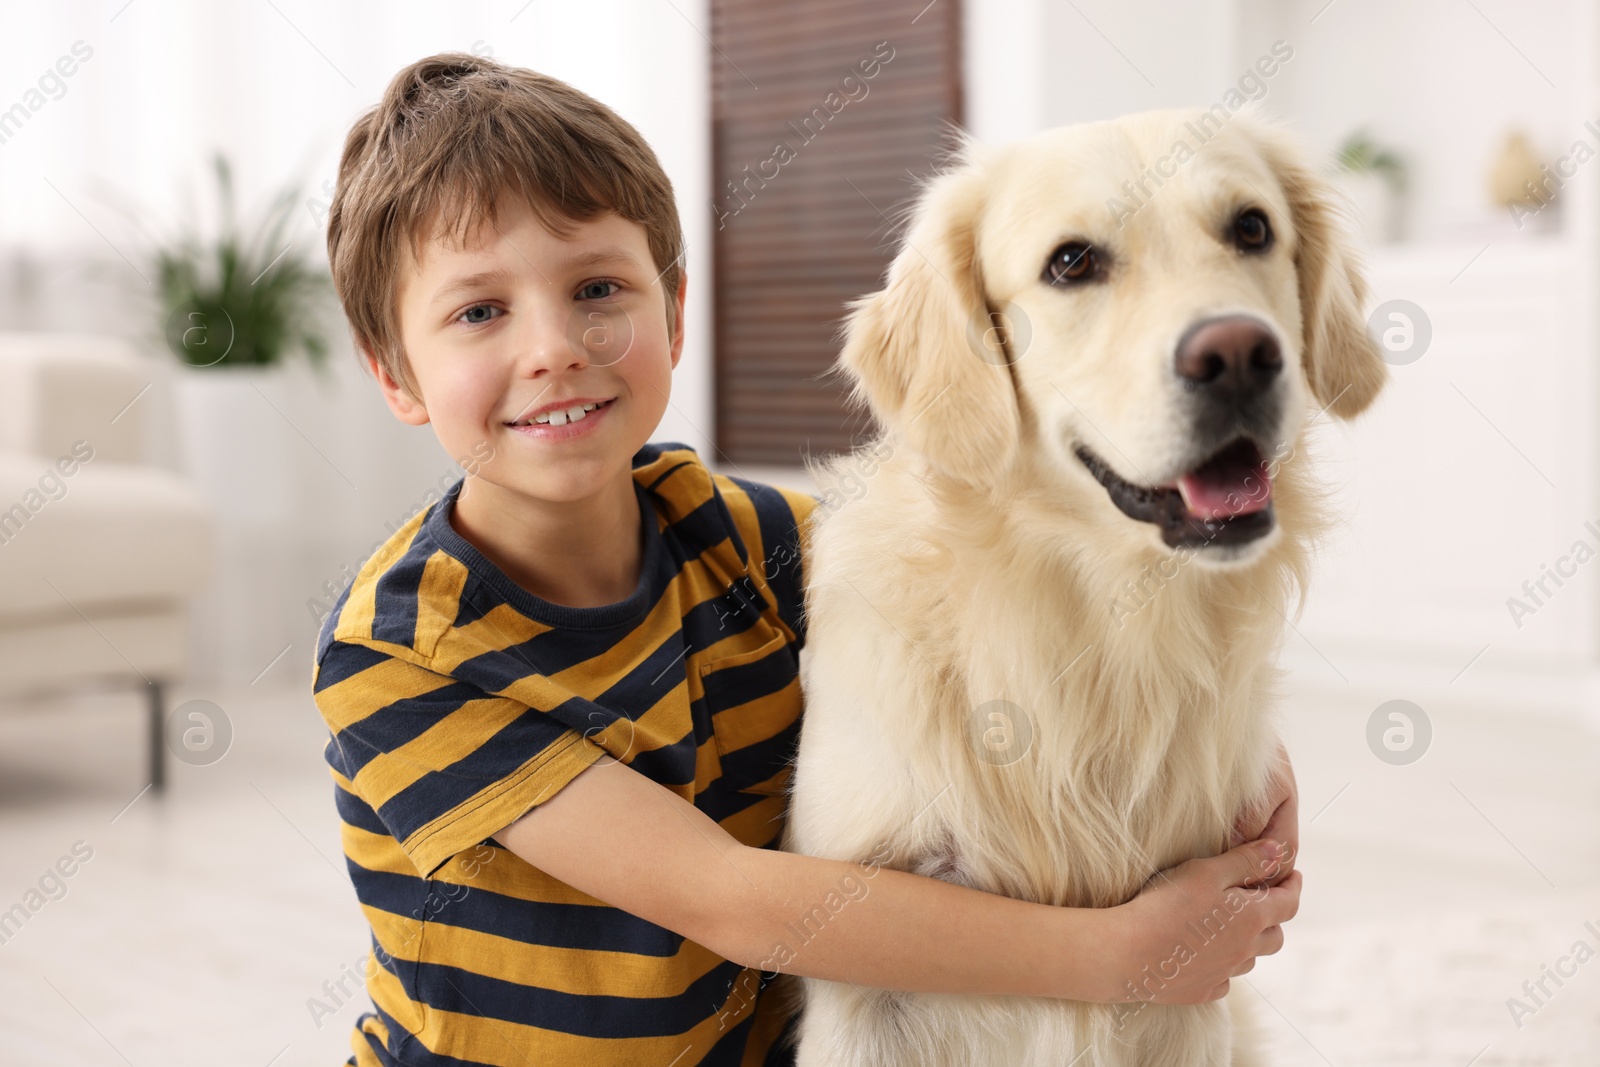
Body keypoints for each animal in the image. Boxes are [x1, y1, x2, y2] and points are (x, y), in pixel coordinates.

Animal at [787, 106, 1388, 1067]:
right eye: (1071, 262)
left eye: (1252, 228)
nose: (1239, 354)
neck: (1096, 621)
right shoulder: (859, 977)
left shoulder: (1194, 984)